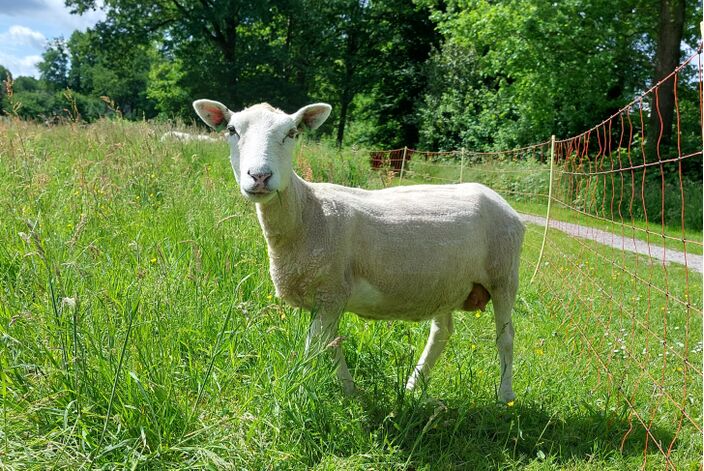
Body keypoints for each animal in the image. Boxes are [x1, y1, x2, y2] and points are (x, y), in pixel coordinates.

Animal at [191, 99, 524, 402]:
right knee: (441, 332)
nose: (260, 176)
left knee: (505, 337)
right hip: (446, 283)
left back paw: (504, 395)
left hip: (504, 275)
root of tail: (500, 200)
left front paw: (300, 392)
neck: (307, 212)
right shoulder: (325, 299)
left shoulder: (331, 291)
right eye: (232, 130)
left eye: (292, 133)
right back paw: (413, 385)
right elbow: (330, 345)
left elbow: (315, 348)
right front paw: (350, 392)